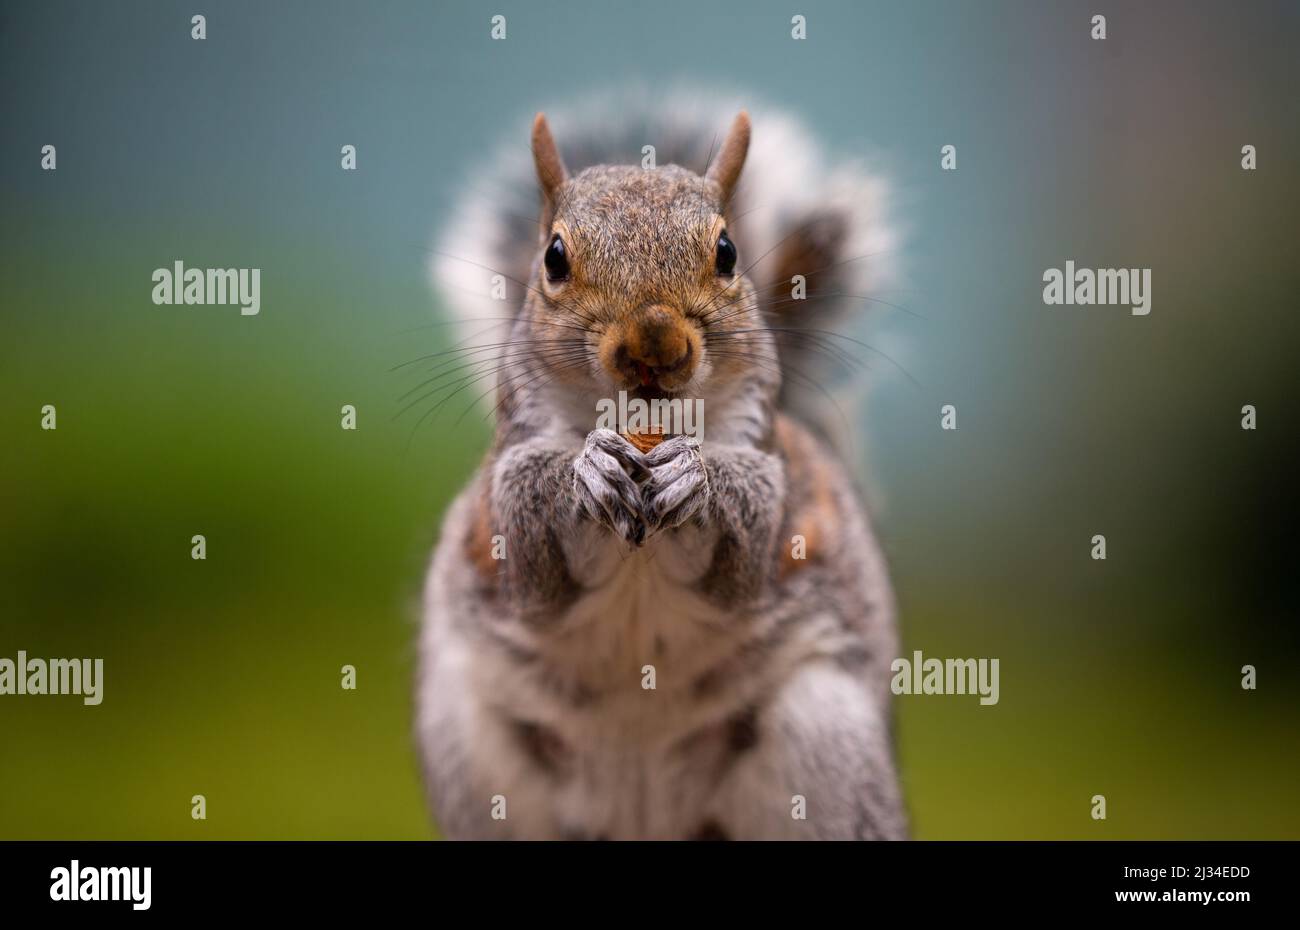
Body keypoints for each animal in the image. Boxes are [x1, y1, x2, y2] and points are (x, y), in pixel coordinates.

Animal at [416, 91, 904, 842]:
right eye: (553, 257)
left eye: (727, 252)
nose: (655, 345)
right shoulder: (506, 513)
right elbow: (539, 554)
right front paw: (585, 470)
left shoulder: (773, 482)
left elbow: (738, 553)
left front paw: (695, 479)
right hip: (474, 759)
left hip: (822, 740)